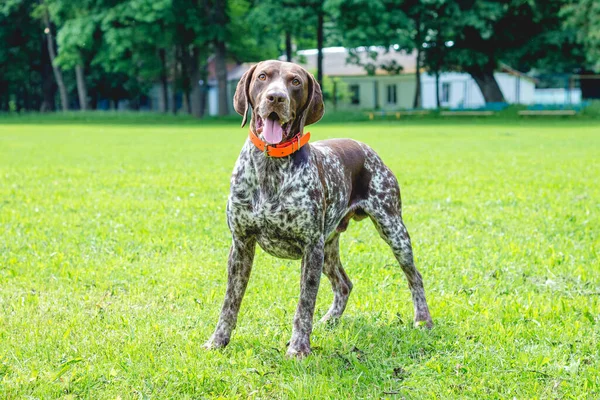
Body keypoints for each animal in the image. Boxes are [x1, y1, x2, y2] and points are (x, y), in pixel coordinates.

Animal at [204, 58, 434, 356]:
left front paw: (299, 348)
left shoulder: (310, 248)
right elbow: (230, 302)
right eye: (263, 76)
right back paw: (330, 320)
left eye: (295, 81)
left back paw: (423, 319)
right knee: (344, 284)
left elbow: (304, 304)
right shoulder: (241, 244)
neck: (270, 166)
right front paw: (218, 340)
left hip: (392, 230)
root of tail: (365, 147)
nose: (275, 97)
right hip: (329, 247)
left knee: (414, 276)